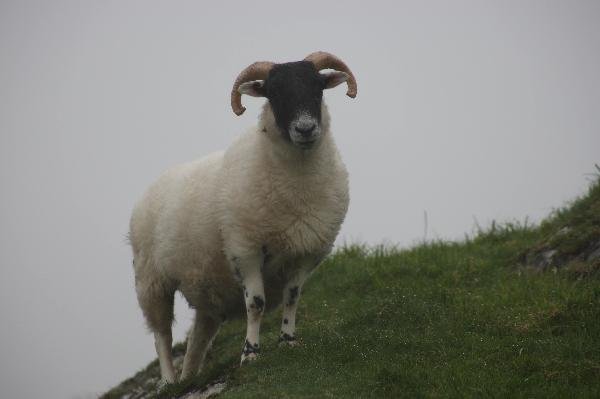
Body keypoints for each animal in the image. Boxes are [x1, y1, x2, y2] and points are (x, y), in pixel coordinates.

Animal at [129, 51, 356, 382]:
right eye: (274, 93)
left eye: (318, 88)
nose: (305, 129)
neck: (297, 185)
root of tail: (151, 188)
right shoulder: (245, 248)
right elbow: (256, 304)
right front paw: (250, 354)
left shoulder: (306, 252)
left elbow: (292, 296)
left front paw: (288, 341)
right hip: (151, 281)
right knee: (161, 335)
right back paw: (169, 381)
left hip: (205, 290)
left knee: (199, 334)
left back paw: (189, 377)